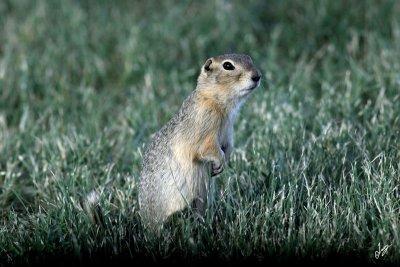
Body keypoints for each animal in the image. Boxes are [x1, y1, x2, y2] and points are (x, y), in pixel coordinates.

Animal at [139, 53, 260, 227]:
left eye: (249, 58)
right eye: (228, 66)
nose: (257, 76)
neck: (216, 102)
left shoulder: (228, 131)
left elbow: (228, 146)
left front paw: (223, 163)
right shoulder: (205, 126)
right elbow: (206, 148)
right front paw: (220, 162)